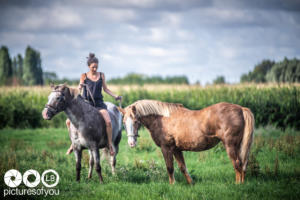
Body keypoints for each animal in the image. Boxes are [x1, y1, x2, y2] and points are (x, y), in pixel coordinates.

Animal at [118, 100, 254, 184]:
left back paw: (238, 184)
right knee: (242, 164)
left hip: (230, 146)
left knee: (237, 164)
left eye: (136, 121)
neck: (162, 119)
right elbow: (183, 167)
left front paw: (172, 184)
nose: (131, 143)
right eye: (124, 122)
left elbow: (170, 168)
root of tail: (241, 109)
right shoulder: (176, 149)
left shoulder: (166, 148)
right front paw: (191, 183)